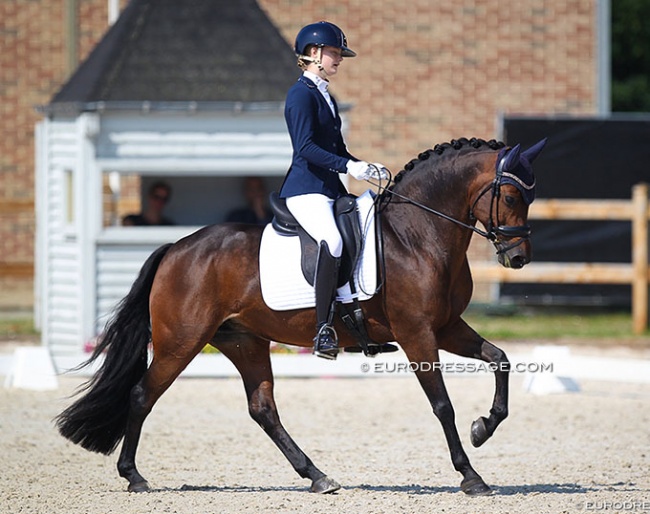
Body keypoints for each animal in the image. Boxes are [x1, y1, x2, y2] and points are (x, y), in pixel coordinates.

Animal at [55, 135, 544, 492]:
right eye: (511, 196)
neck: (416, 235)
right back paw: (134, 476)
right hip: (182, 341)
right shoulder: (417, 334)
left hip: (244, 341)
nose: (519, 259)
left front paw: (484, 427)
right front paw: (471, 475)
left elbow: (501, 359)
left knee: (263, 409)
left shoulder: (445, 327)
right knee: (143, 394)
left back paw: (318, 476)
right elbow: (442, 404)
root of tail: (177, 248)